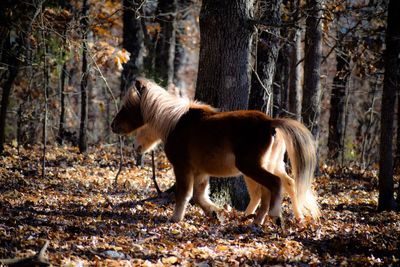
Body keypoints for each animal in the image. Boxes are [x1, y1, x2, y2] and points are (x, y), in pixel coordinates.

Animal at [111, 78, 320, 225]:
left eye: (127, 106)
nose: (113, 126)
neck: (176, 123)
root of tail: (270, 123)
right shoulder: (200, 172)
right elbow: (199, 195)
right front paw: (214, 213)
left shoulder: (182, 168)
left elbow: (184, 193)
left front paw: (175, 218)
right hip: (270, 164)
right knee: (283, 185)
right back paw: (269, 219)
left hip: (251, 167)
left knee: (274, 185)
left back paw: (273, 217)